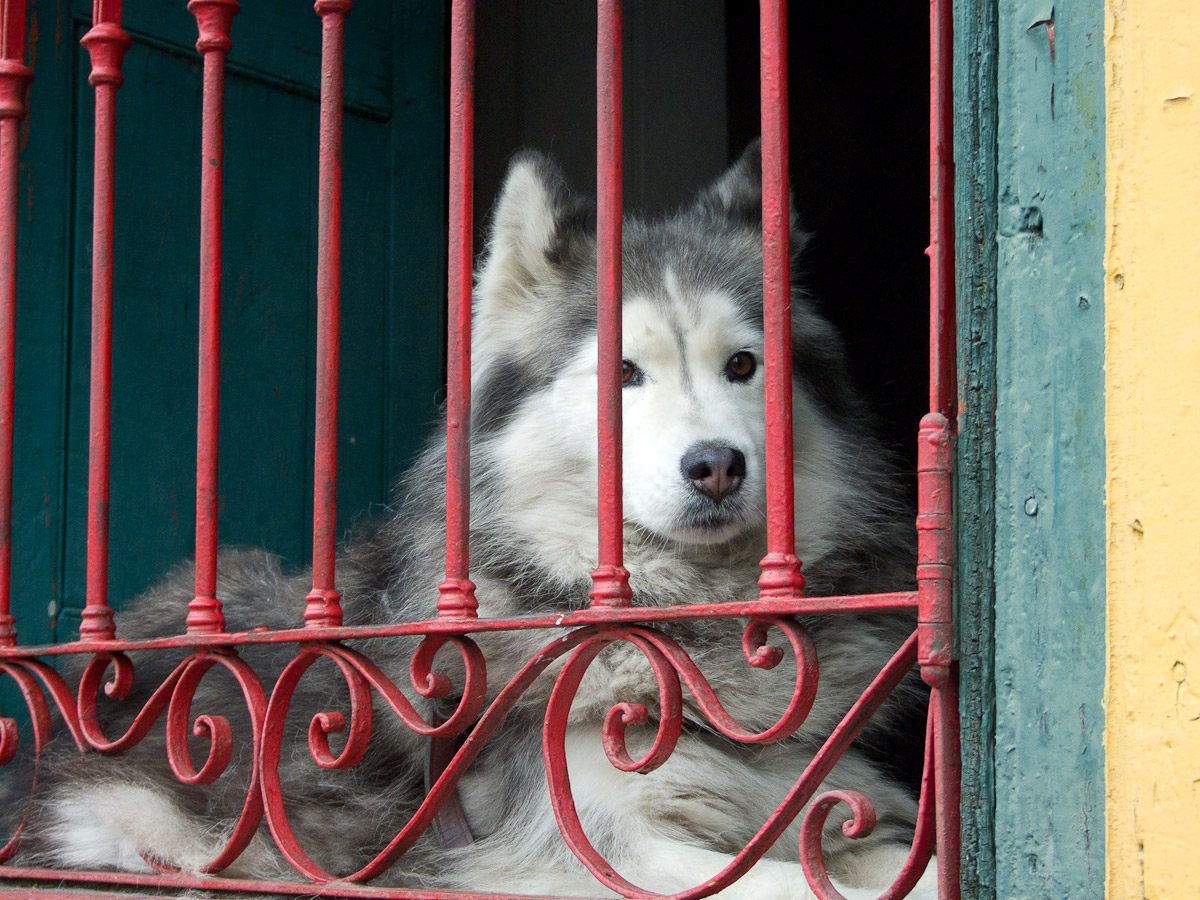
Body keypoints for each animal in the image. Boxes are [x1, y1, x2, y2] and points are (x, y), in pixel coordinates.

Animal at [4, 144, 931, 897]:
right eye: (623, 374)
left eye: (743, 365)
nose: (716, 465)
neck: (688, 631)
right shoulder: (594, 850)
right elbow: (793, 881)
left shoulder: (818, 803)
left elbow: (884, 859)